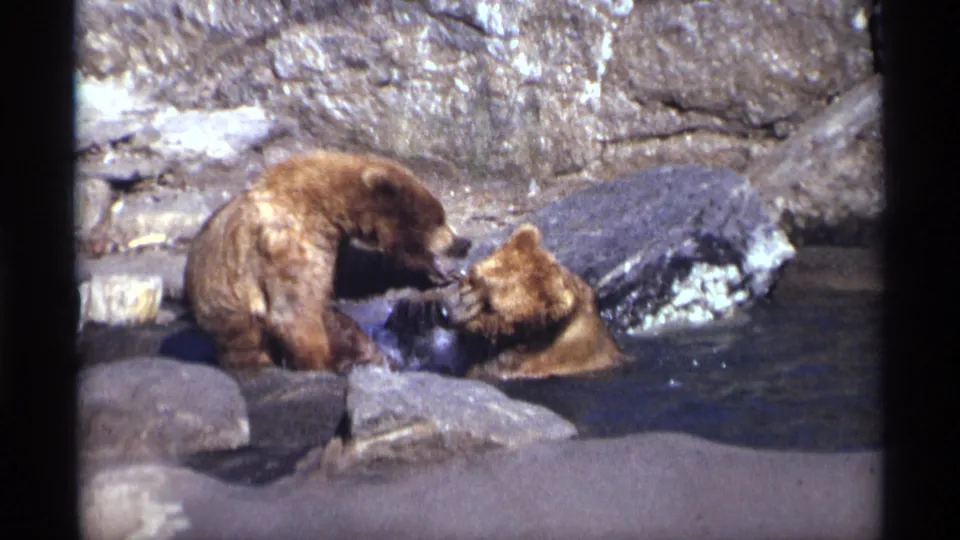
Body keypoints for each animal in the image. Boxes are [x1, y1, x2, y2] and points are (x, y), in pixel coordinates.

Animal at [183, 149, 472, 373]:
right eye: (439, 219)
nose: (463, 243)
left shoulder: (334, 244)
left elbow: (352, 277)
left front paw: (436, 273)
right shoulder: (290, 245)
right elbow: (294, 311)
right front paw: (324, 364)